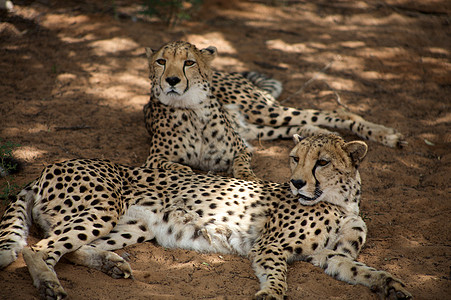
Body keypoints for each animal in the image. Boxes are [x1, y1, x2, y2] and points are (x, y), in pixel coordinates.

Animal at [0, 135, 412, 298]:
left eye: (322, 162)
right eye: (296, 158)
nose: (296, 182)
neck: (341, 202)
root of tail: (49, 166)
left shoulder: (331, 256)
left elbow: (365, 270)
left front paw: (393, 285)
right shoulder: (269, 247)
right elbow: (279, 276)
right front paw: (270, 293)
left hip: (134, 225)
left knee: (70, 250)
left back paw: (111, 263)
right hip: (103, 208)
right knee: (39, 248)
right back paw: (48, 283)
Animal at [143, 40, 404, 180]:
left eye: (189, 62)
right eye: (161, 61)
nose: (172, 80)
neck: (190, 109)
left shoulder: (240, 150)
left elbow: (242, 165)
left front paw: (248, 178)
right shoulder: (154, 159)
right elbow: (173, 165)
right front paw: (189, 171)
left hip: (262, 109)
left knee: (335, 113)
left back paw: (387, 135)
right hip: (256, 128)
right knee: (300, 125)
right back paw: (322, 135)